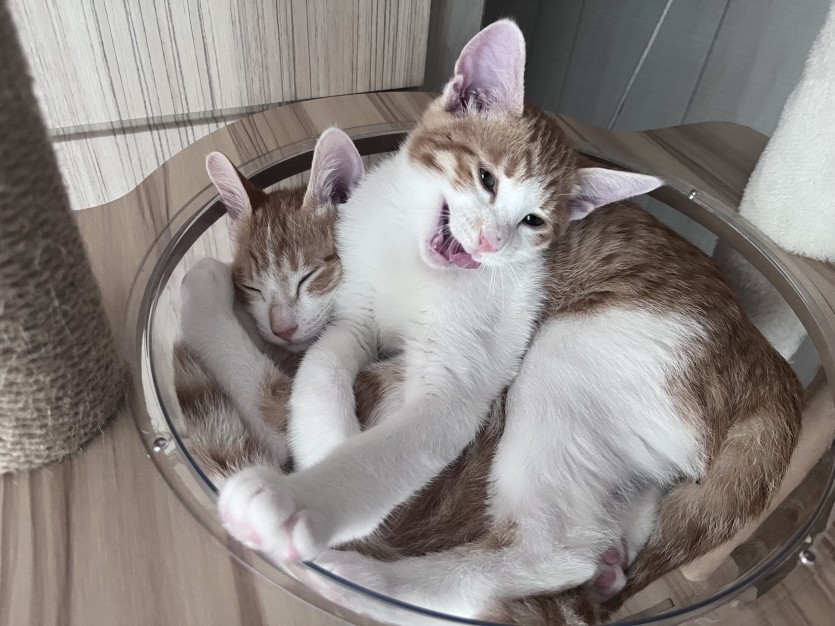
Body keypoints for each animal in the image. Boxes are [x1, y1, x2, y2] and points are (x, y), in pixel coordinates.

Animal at [213, 18, 801, 621]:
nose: (491, 243)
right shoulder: (354, 317)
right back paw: (613, 558)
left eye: (534, 221)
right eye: (486, 178)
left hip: (576, 348)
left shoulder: (458, 385)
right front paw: (325, 436)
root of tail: (773, 377)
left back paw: (365, 580)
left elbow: (395, 446)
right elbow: (320, 366)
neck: (414, 265)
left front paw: (299, 501)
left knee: (558, 548)